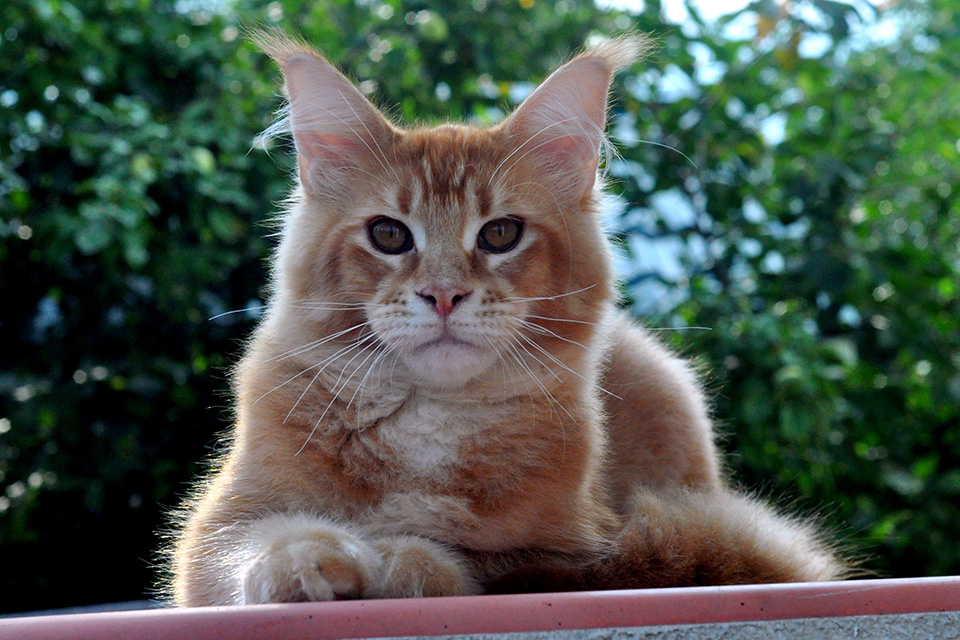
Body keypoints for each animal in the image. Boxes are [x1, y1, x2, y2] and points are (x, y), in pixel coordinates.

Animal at [167, 26, 848, 604]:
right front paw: (310, 559)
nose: (444, 295)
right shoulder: (213, 530)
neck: (430, 421)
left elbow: (453, 559)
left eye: (500, 234)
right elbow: (258, 542)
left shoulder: (562, 548)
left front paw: (396, 559)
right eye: (389, 235)